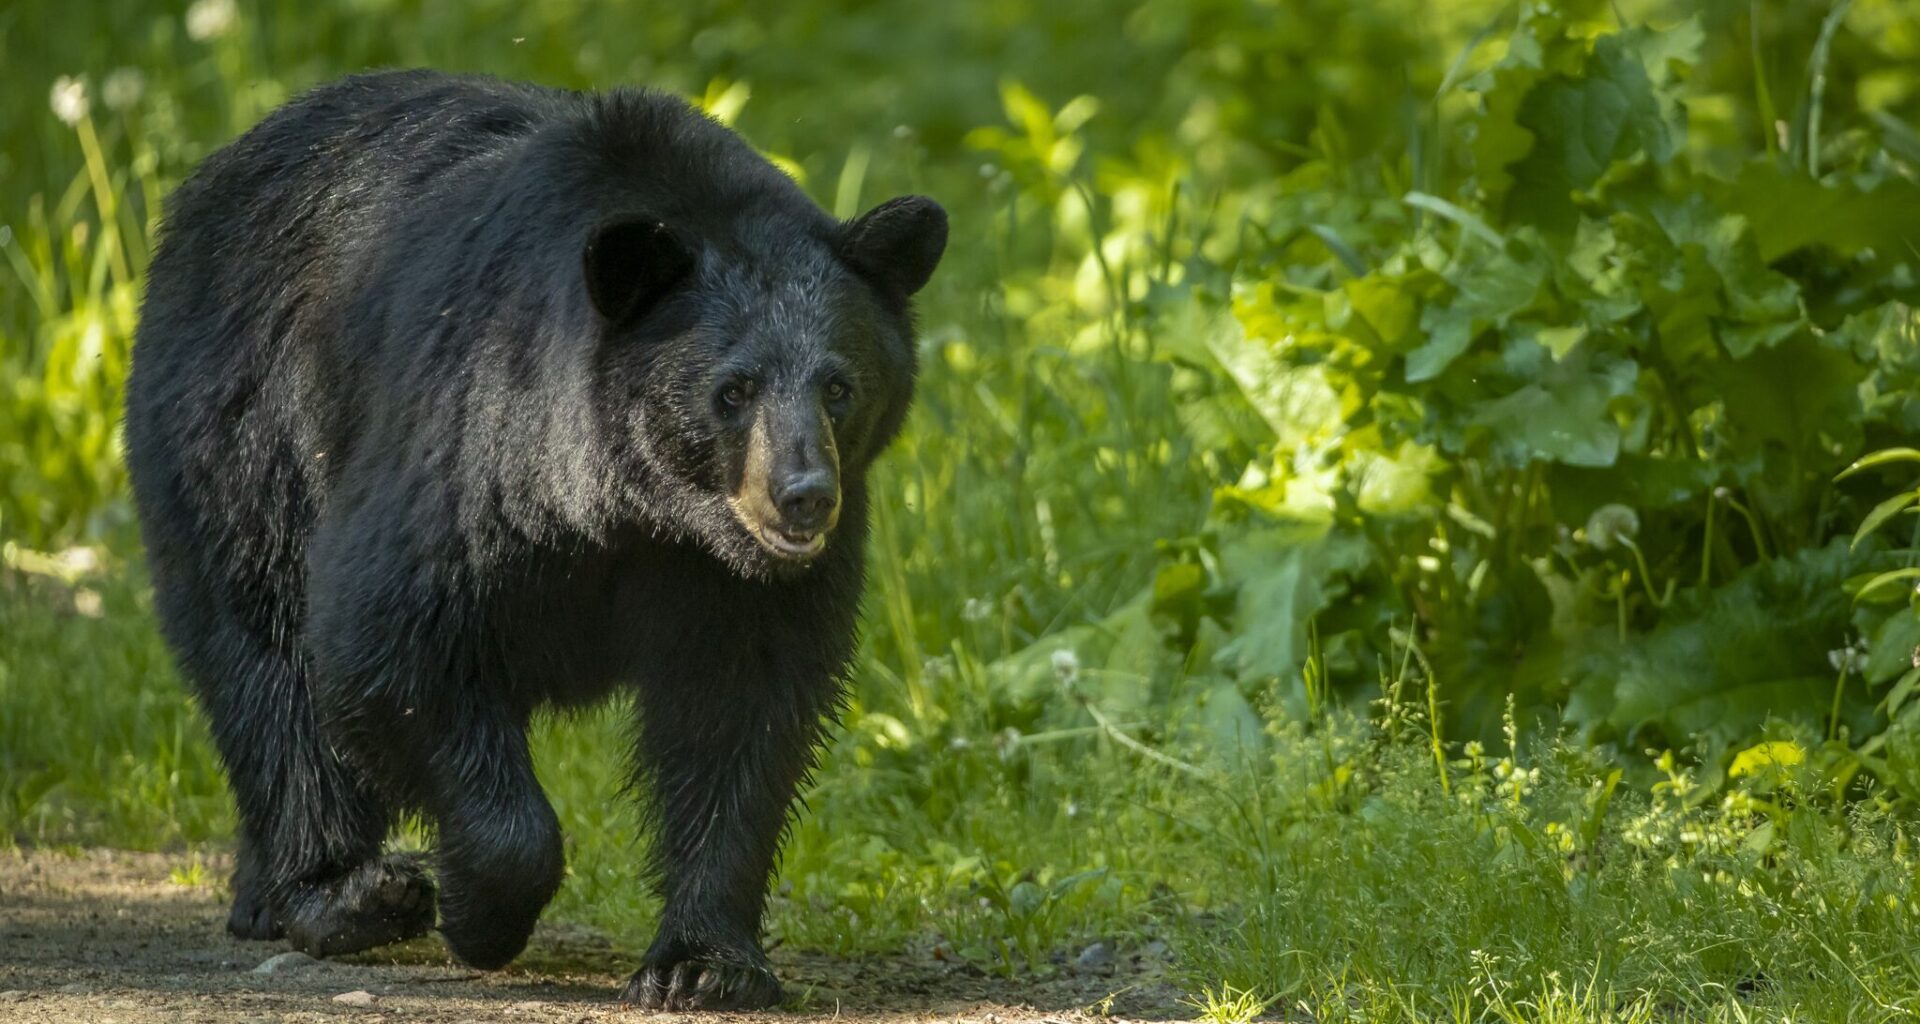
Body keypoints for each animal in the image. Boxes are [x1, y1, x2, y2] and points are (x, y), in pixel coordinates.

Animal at [122, 68, 946, 1010]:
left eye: (839, 386)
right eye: (733, 390)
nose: (804, 498)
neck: (637, 508)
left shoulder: (734, 582)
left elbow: (742, 709)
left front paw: (703, 963)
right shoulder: (473, 446)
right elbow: (389, 636)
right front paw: (479, 913)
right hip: (240, 432)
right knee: (268, 660)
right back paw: (342, 894)